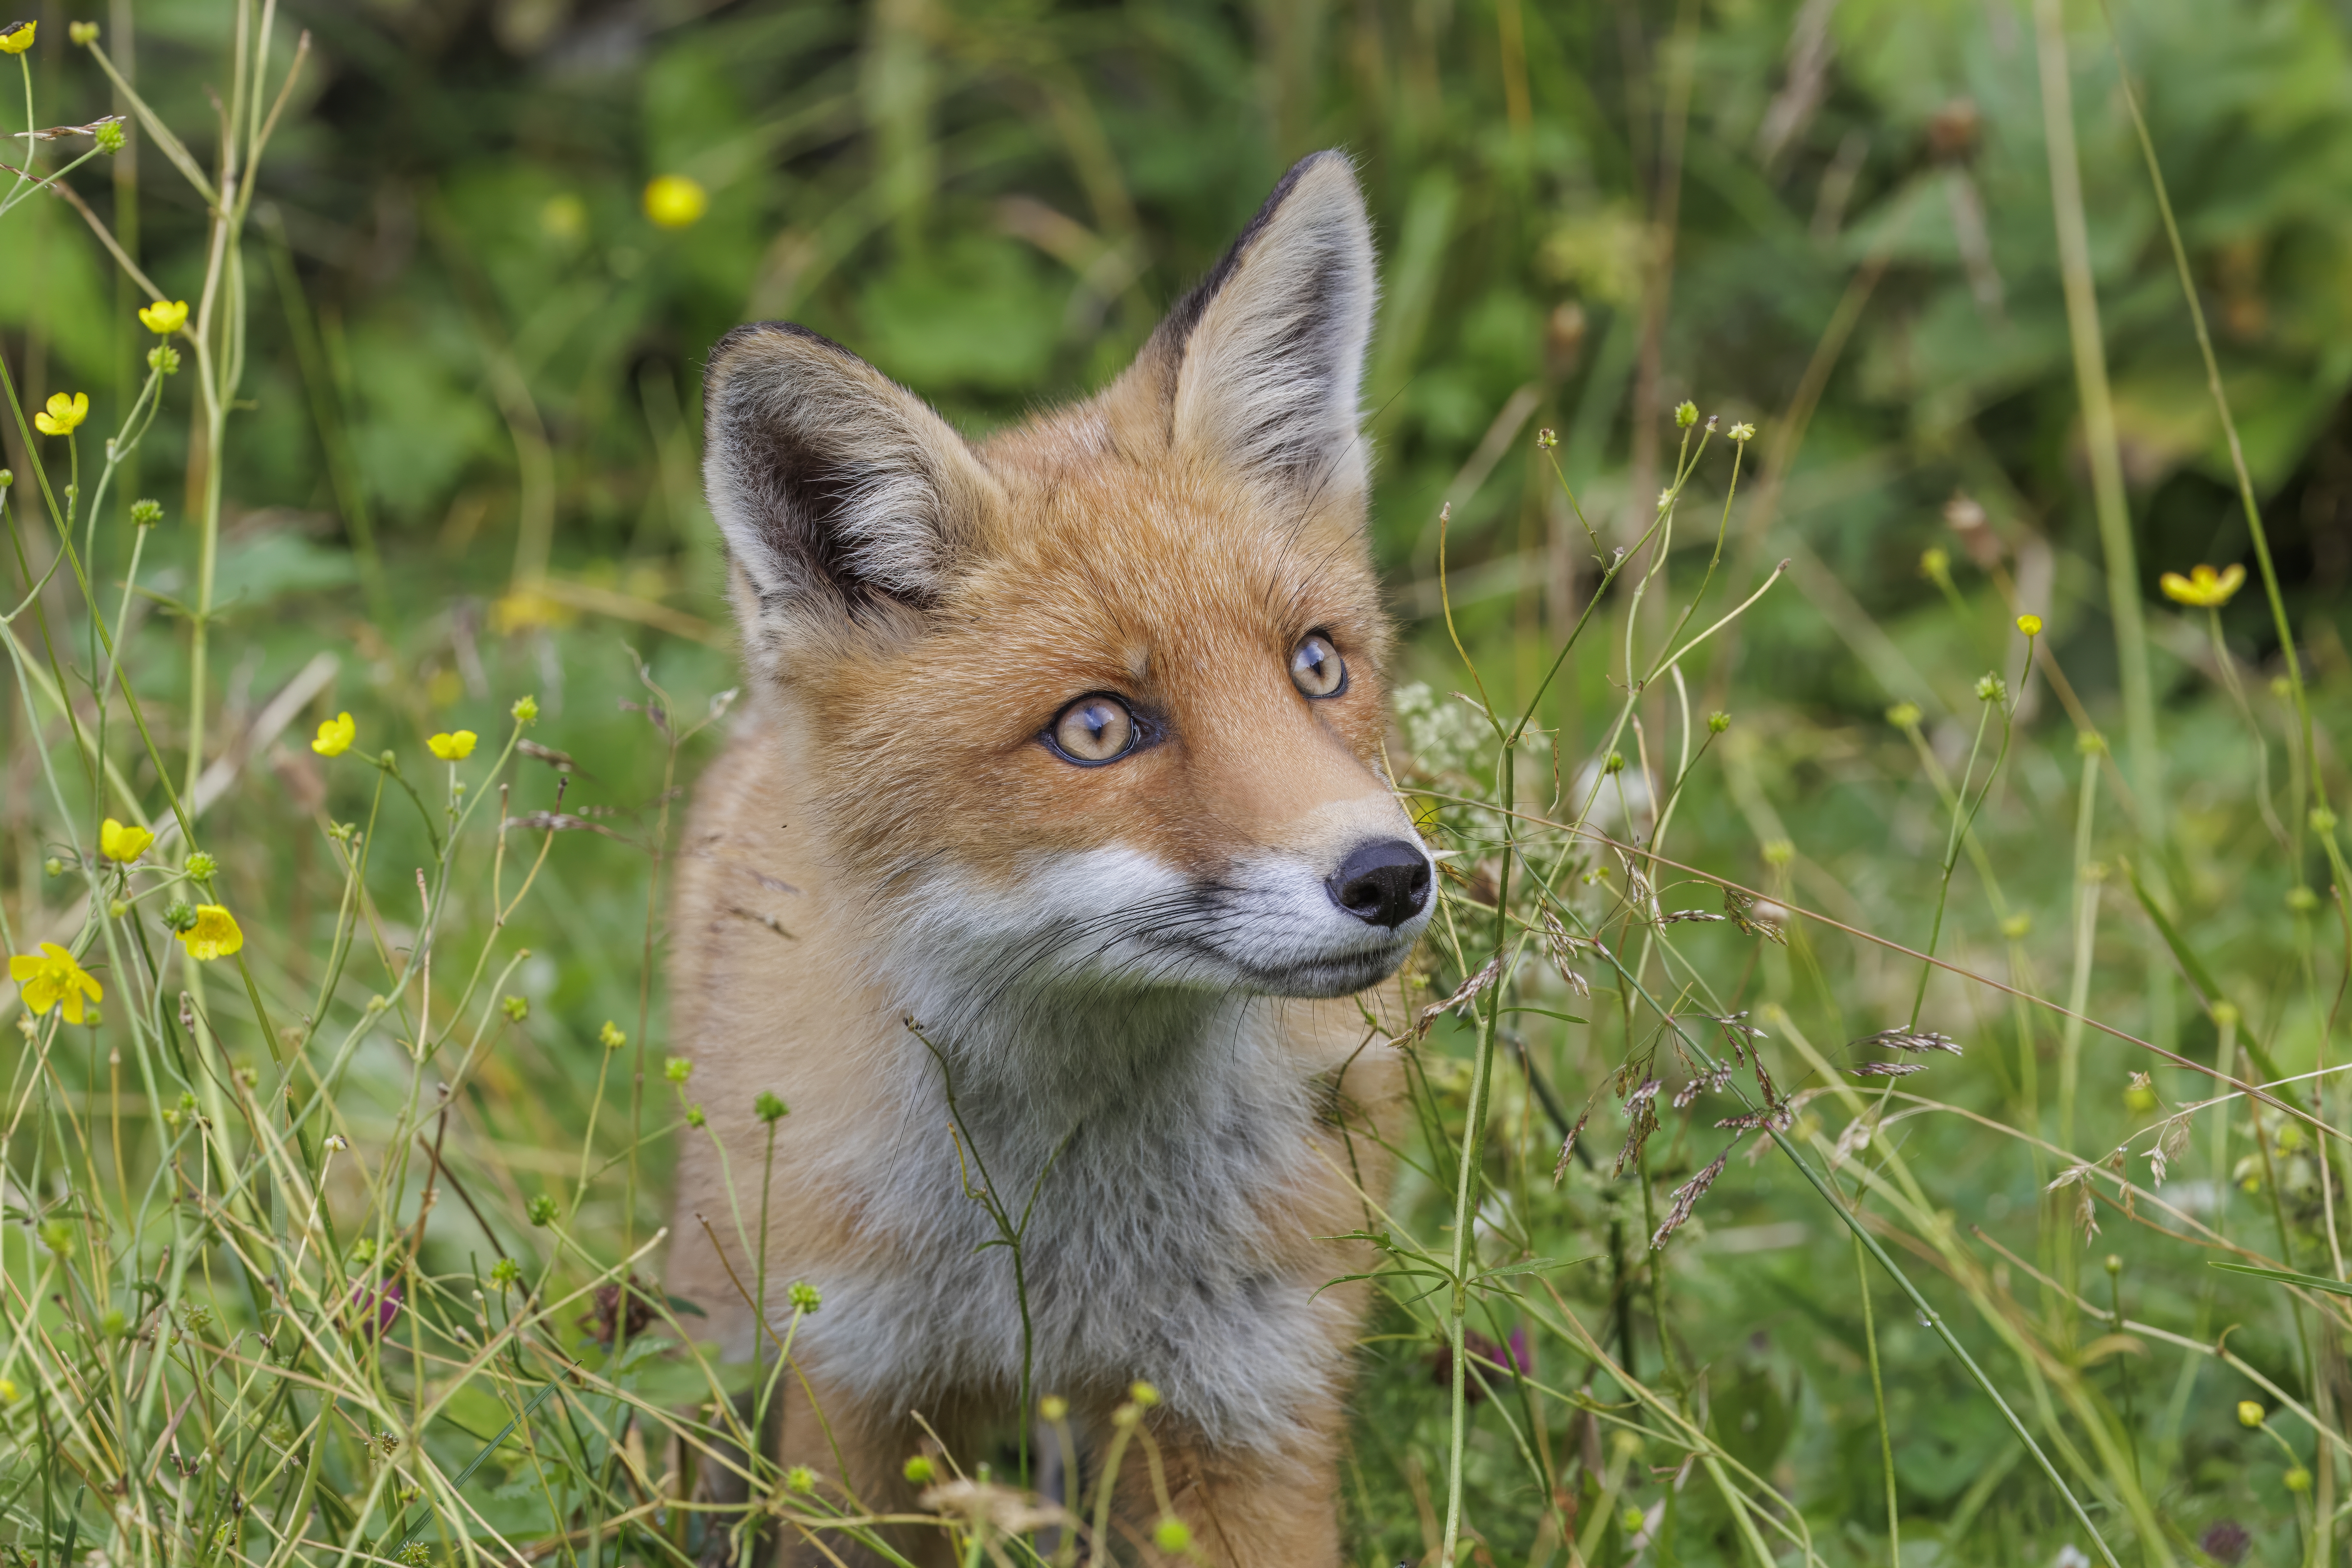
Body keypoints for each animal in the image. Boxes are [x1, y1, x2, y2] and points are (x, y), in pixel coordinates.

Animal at [664, 149, 1435, 1567]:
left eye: (1316, 664)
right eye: (1095, 728)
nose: (1387, 877)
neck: (1066, 1237)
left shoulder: (1243, 1398)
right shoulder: (862, 1396)